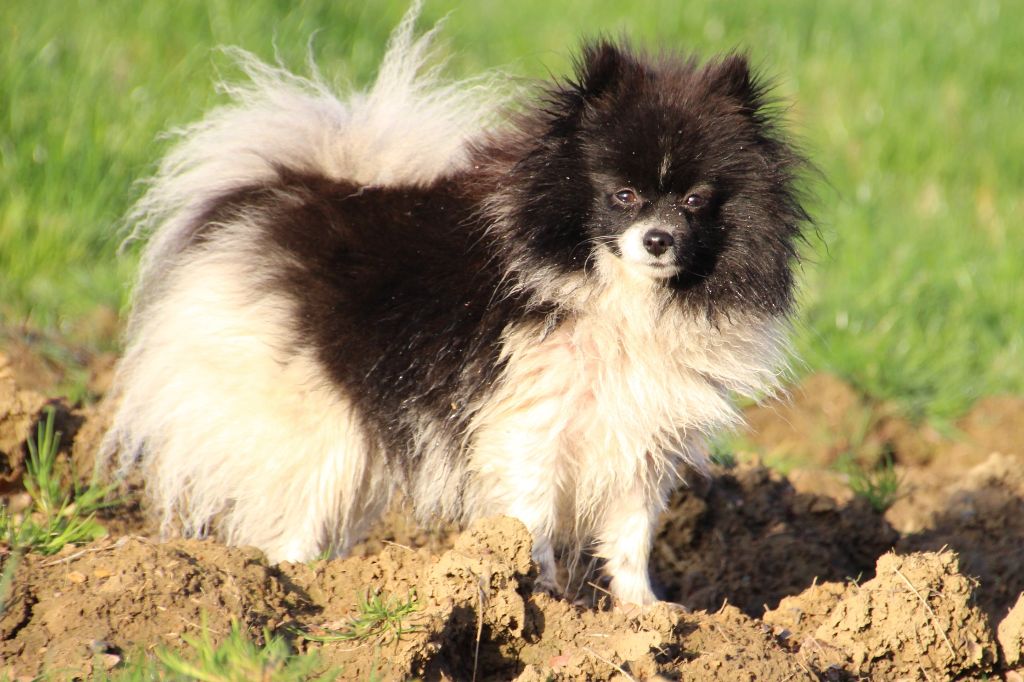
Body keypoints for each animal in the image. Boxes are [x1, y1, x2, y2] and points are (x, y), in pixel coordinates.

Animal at [102, 6, 809, 606]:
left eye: (695, 200)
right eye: (624, 195)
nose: (658, 240)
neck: (623, 298)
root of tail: (306, 189)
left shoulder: (643, 433)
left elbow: (631, 535)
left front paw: (646, 615)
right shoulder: (532, 422)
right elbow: (534, 518)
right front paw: (541, 600)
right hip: (312, 423)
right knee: (293, 508)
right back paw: (290, 586)